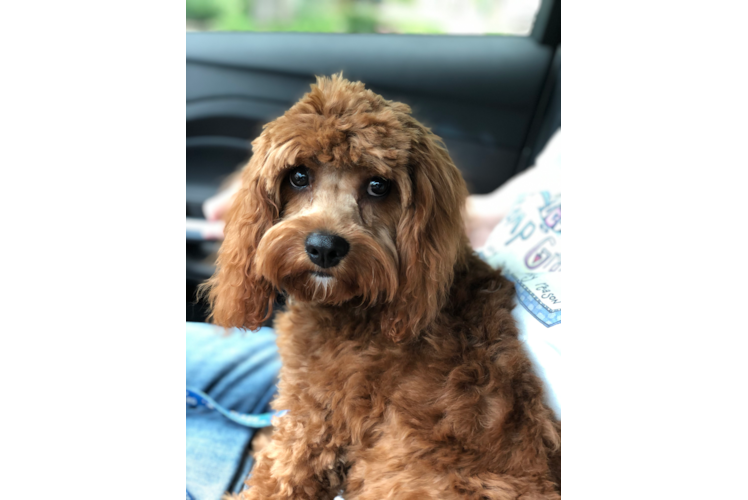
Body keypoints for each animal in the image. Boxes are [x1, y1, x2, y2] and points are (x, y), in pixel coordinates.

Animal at [202, 75, 560, 500]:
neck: (360, 310)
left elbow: (278, 478)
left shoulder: (316, 422)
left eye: (378, 185)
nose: (324, 247)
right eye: (299, 176)